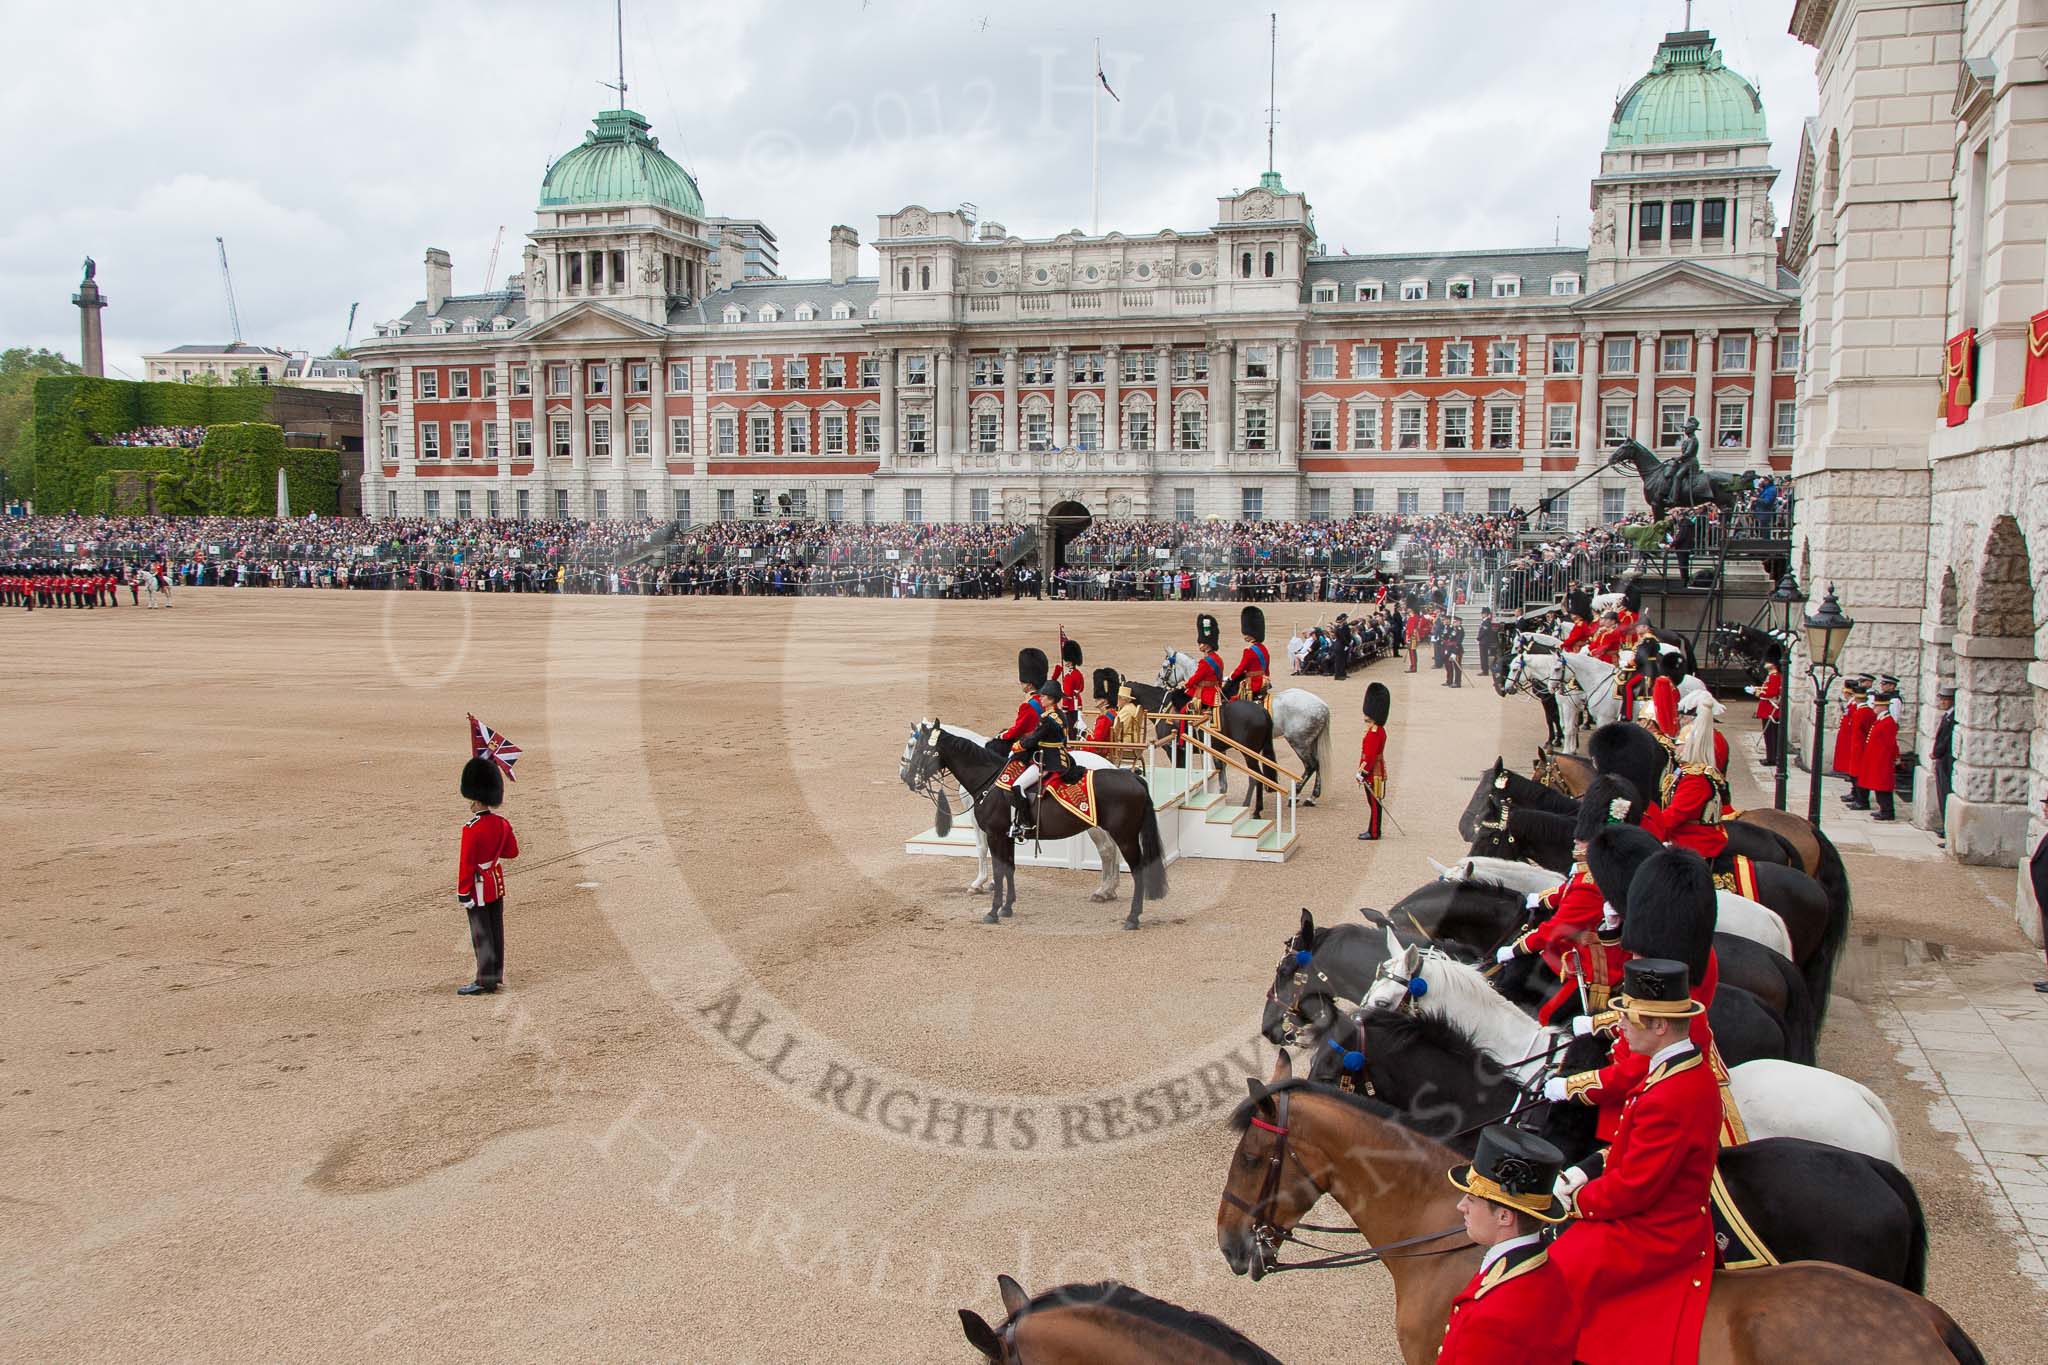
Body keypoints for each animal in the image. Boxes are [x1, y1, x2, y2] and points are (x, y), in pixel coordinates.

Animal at [901, 724, 1171, 929]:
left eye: (917, 746)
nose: (906, 777)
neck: (989, 779)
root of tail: (1130, 775)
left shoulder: (993, 834)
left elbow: (994, 865)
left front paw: (991, 908)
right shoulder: (1007, 836)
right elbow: (1009, 868)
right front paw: (1007, 907)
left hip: (1122, 836)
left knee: (1130, 866)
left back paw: (1131, 916)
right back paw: (1108, 891)